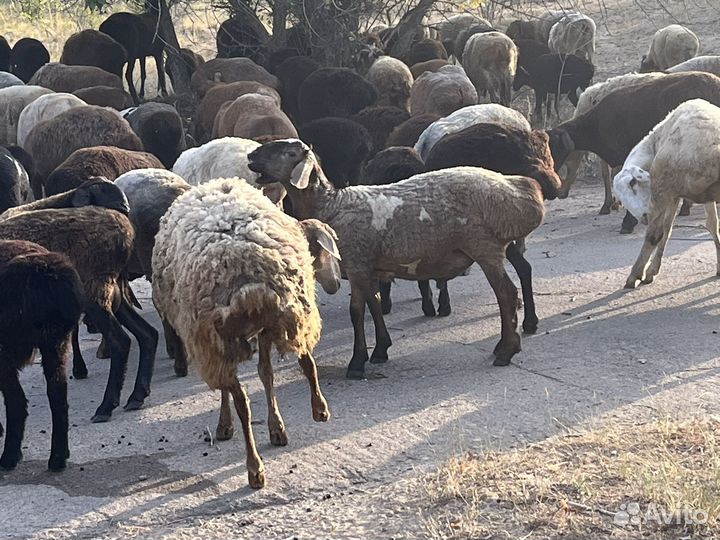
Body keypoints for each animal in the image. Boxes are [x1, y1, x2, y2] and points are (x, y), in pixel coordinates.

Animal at [150, 178, 342, 490]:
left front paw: (269, 425)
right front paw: (280, 426)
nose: (337, 282)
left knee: (248, 391)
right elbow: (268, 376)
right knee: (272, 381)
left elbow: (261, 376)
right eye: (326, 252)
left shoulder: (241, 336)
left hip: (225, 338)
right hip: (244, 329)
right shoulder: (250, 334)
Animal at [248, 137, 556, 378]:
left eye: (288, 152)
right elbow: (374, 305)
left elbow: (356, 312)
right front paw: (380, 350)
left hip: (484, 246)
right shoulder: (367, 267)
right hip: (496, 245)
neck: (332, 205)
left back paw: (506, 350)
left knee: (506, 293)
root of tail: (515, 187)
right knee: (517, 279)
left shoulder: (357, 263)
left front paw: (357, 362)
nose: (251, 157)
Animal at [612, 99, 720, 288]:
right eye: (621, 201)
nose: (644, 217)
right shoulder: (685, 195)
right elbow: (711, 225)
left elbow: (658, 234)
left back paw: (634, 274)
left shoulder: (665, 192)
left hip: (662, 189)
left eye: (632, 182)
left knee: (653, 235)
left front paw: (641, 274)